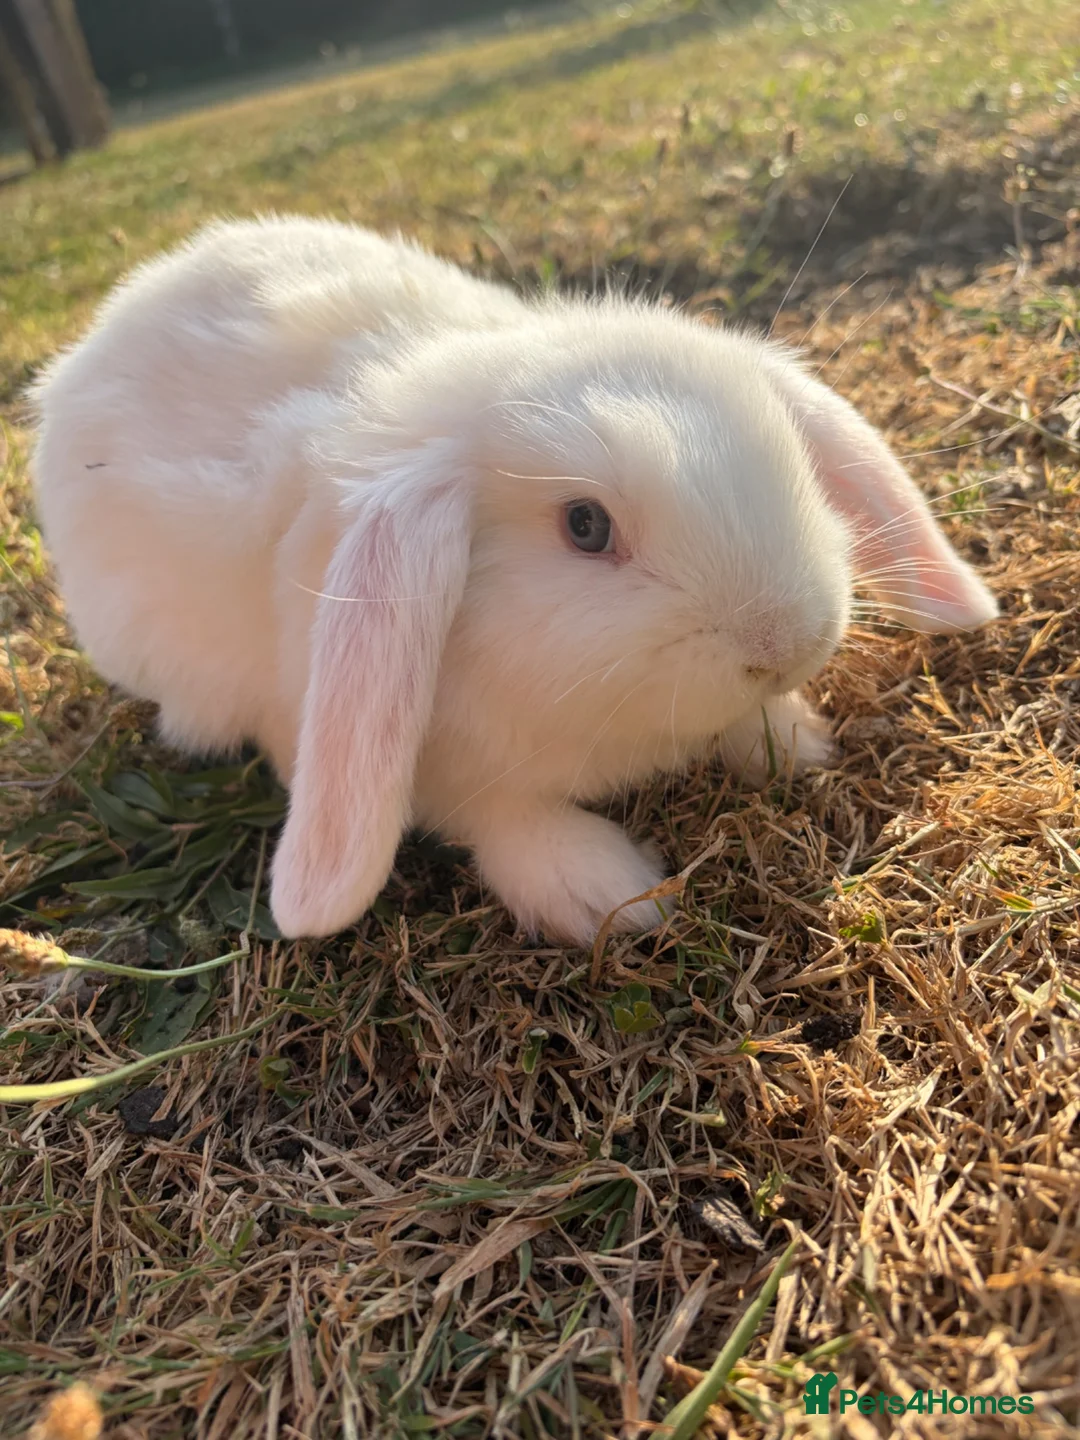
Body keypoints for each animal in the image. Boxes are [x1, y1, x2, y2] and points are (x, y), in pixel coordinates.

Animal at [31, 216, 998, 945]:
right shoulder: (450, 777)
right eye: (585, 526)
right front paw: (614, 895)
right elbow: (505, 822)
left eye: (789, 457)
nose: (785, 645)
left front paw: (792, 738)